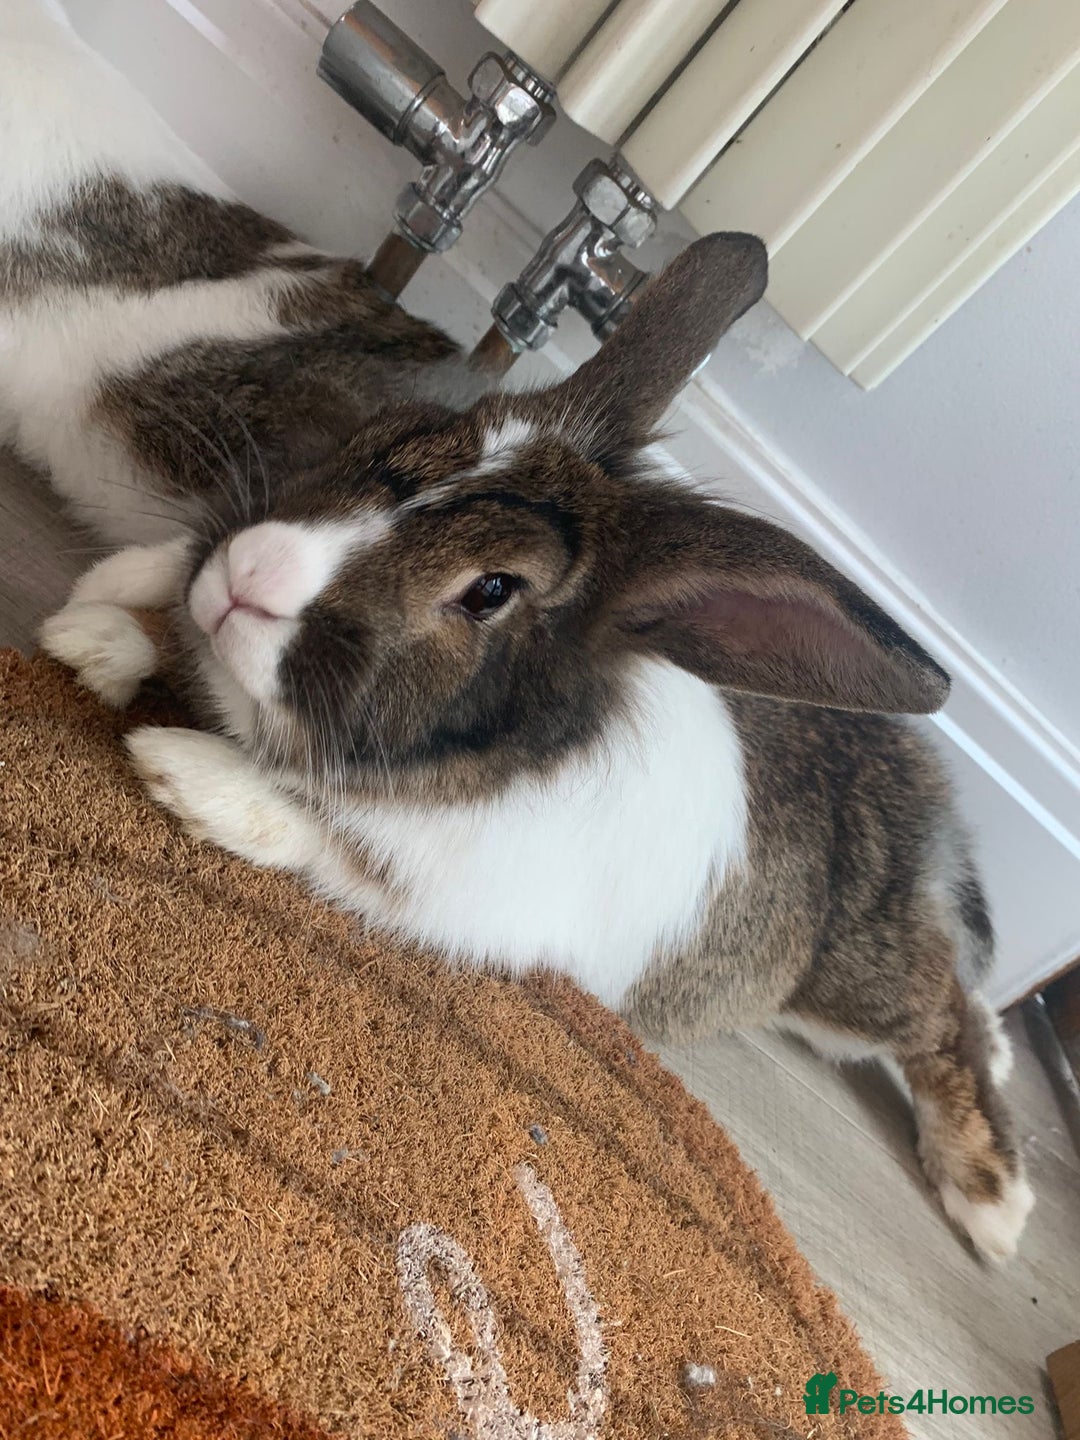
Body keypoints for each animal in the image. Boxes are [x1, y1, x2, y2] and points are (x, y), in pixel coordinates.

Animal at [6, 0, 1033, 1262]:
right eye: (411, 433)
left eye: (491, 591)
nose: (248, 576)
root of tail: (930, 797)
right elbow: (160, 599)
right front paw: (99, 629)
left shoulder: (460, 886)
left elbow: (330, 834)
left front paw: (185, 771)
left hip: (853, 987)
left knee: (949, 1022)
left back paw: (992, 1202)